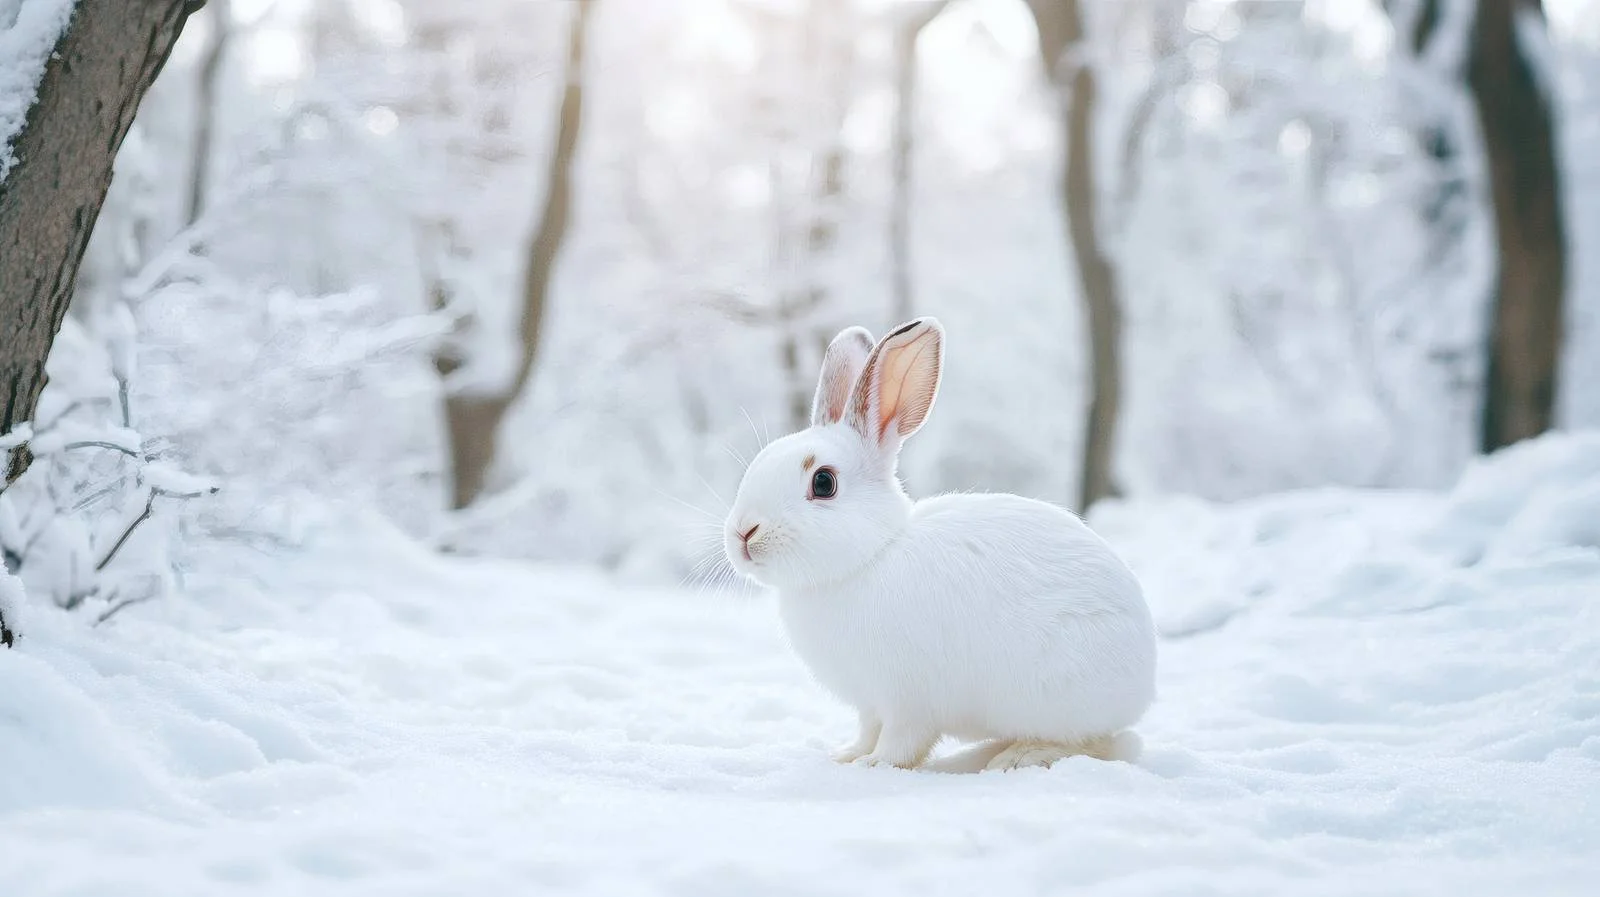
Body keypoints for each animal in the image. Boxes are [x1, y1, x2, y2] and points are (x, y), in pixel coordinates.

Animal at [723, 317, 1157, 771]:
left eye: (823, 482)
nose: (743, 533)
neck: (871, 555)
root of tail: (1142, 684)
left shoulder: (909, 700)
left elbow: (902, 741)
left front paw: (874, 765)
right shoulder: (871, 704)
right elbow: (868, 730)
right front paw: (847, 755)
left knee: (1102, 744)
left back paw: (1015, 758)